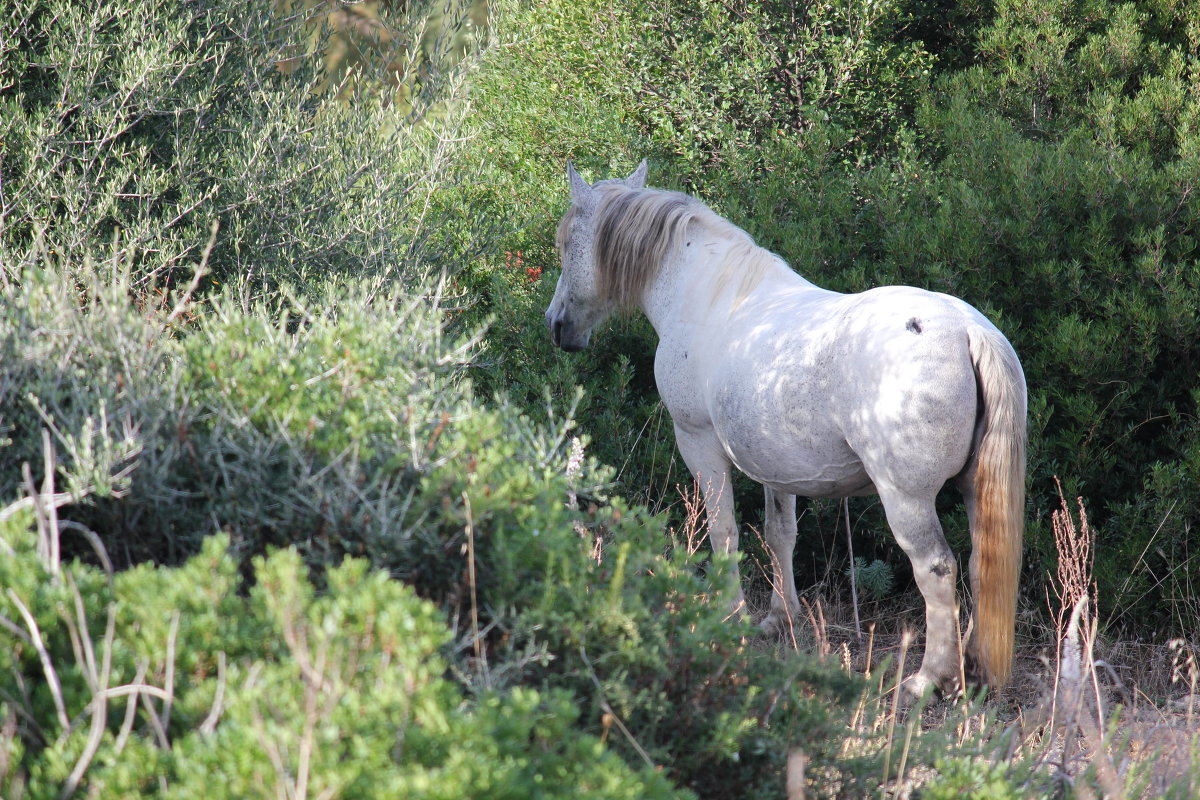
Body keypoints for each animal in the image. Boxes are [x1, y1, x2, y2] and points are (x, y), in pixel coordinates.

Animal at [544, 160, 1022, 695]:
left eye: (567, 242)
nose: (557, 325)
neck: (708, 297)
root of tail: (966, 329)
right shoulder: (778, 465)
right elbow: (780, 534)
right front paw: (780, 617)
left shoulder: (698, 443)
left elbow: (724, 531)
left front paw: (728, 617)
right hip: (975, 490)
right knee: (983, 563)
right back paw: (974, 668)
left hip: (907, 498)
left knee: (936, 570)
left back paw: (928, 678)